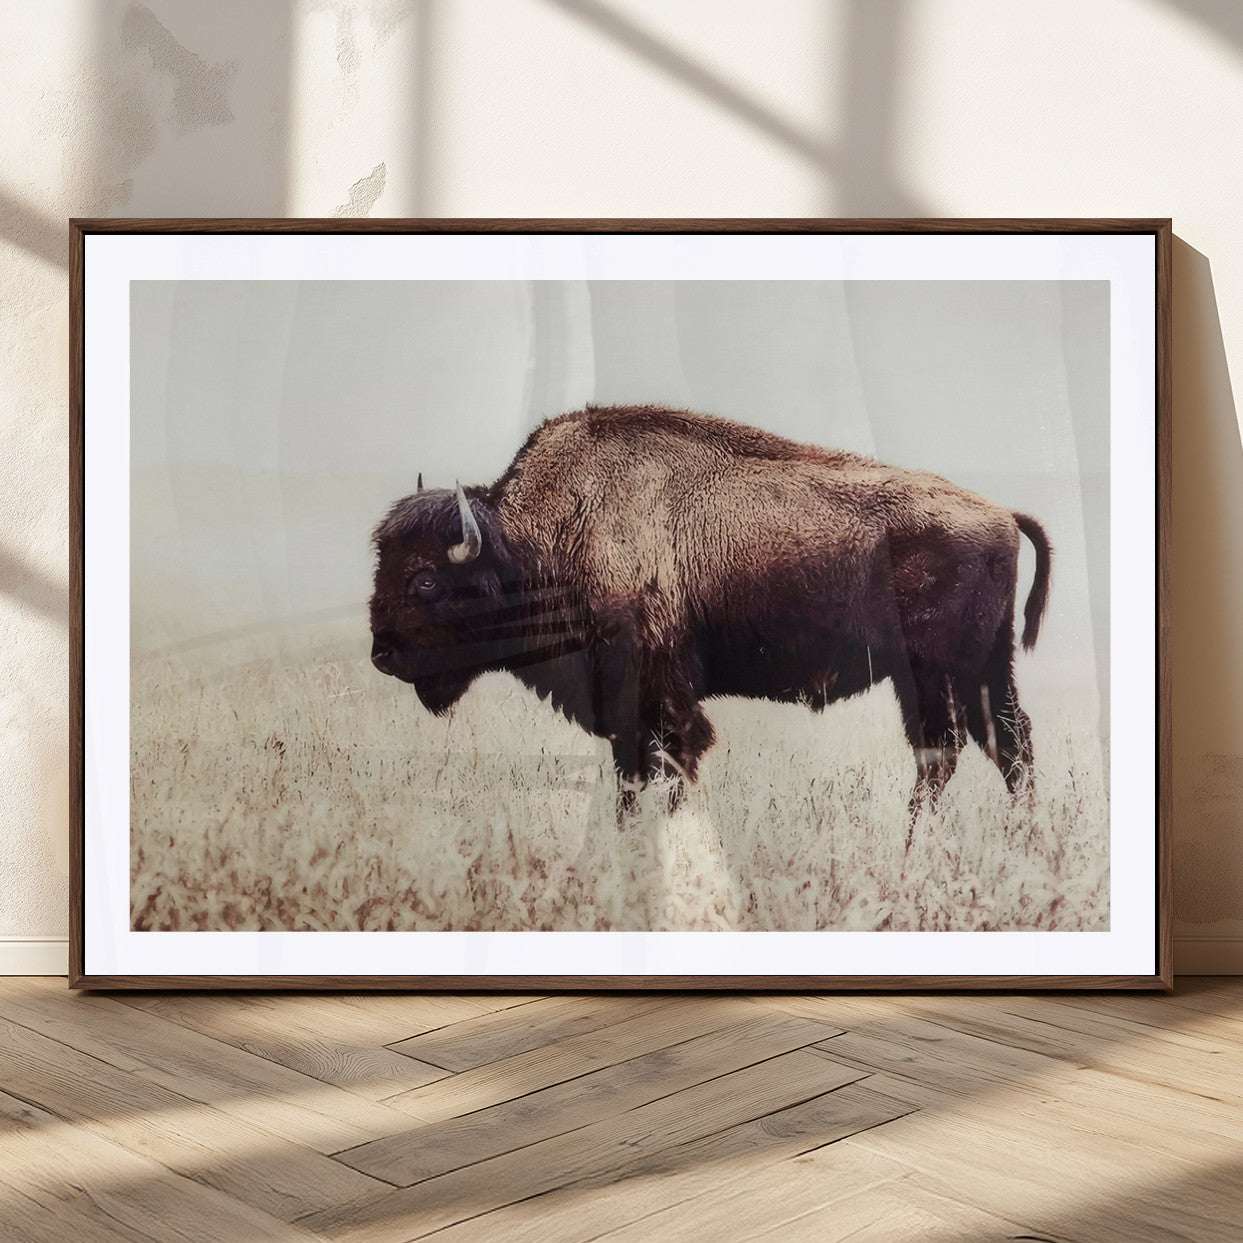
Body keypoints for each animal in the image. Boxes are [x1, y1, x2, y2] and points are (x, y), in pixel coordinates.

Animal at [369, 404, 1051, 828]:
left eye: (425, 579)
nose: (382, 655)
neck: (540, 538)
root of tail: (1000, 513)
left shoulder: (660, 699)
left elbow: (669, 768)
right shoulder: (626, 715)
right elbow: (631, 781)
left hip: (932, 673)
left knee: (944, 752)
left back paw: (912, 849)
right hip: (985, 668)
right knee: (1007, 745)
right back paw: (1022, 844)